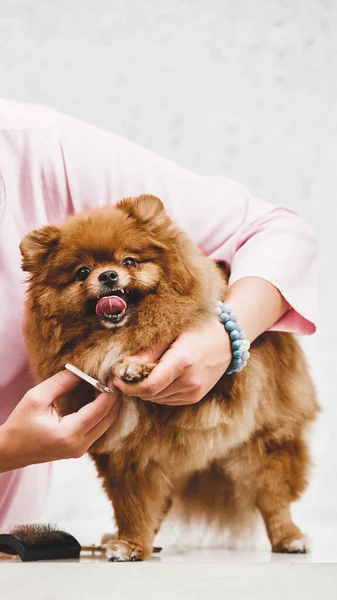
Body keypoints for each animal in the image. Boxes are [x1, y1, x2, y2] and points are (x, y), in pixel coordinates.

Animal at [19, 195, 318, 560]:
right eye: (82, 272)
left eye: (129, 261)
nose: (108, 275)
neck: (119, 334)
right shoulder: (125, 453)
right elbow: (133, 506)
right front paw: (131, 544)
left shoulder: (221, 385)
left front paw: (134, 367)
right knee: (159, 503)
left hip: (264, 443)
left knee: (273, 497)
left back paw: (289, 537)